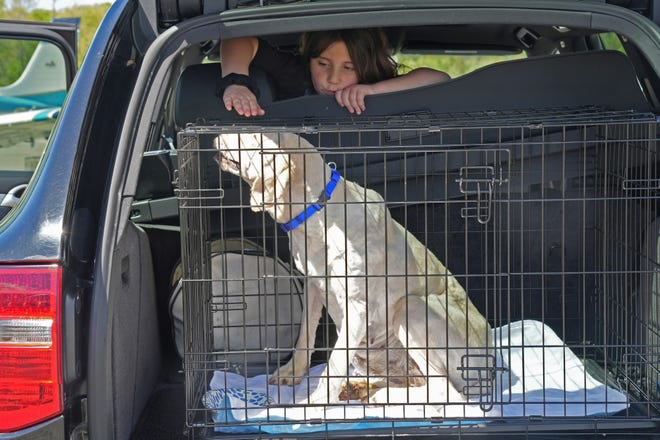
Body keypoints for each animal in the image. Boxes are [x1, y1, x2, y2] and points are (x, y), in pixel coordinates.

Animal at [214, 131, 492, 406]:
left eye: (252, 136)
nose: (217, 134)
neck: (320, 212)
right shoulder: (313, 285)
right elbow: (304, 335)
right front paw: (292, 373)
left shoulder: (357, 306)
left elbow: (335, 363)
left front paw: (316, 403)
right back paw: (363, 388)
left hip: (411, 308)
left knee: (444, 392)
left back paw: (378, 396)